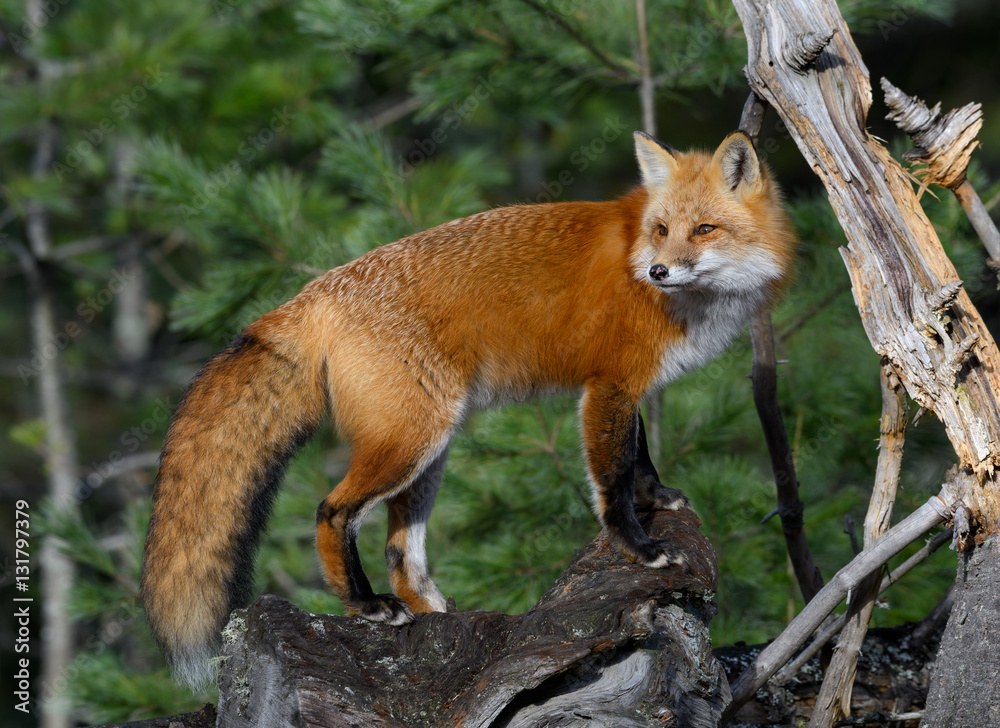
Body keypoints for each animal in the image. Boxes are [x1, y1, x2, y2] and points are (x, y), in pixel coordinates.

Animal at [141, 130, 795, 689]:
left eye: (703, 229)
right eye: (661, 229)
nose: (658, 271)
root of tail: (317, 289)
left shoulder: (623, 389)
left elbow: (640, 457)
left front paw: (658, 498)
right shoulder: (608, 385)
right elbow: (612, 477)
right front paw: (640, 548)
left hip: (430, 452)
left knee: (401, 551)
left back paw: (437, 615)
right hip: (411, 441)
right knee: (332, 511)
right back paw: (366, 606)